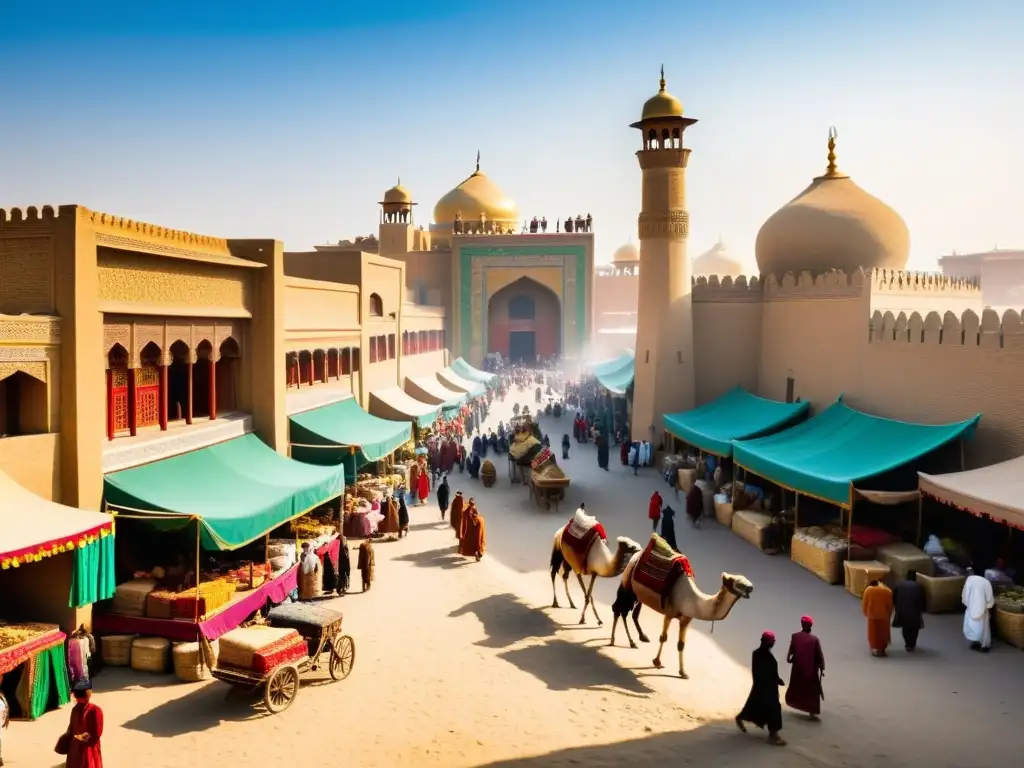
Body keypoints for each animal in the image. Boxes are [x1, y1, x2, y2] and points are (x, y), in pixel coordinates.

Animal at [606, 536, 753, 679]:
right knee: (619, 609)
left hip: (637, 595)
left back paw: (638, 639)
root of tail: (635, 556)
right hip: (627, 586)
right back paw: (614, 640)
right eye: (738, 584)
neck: (692, 599)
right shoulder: (669, 613)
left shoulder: (686, 618)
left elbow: (681, 644)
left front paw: (683, 672)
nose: (751, 587)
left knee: (629, 613)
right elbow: (663, 637)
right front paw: (657, 662)